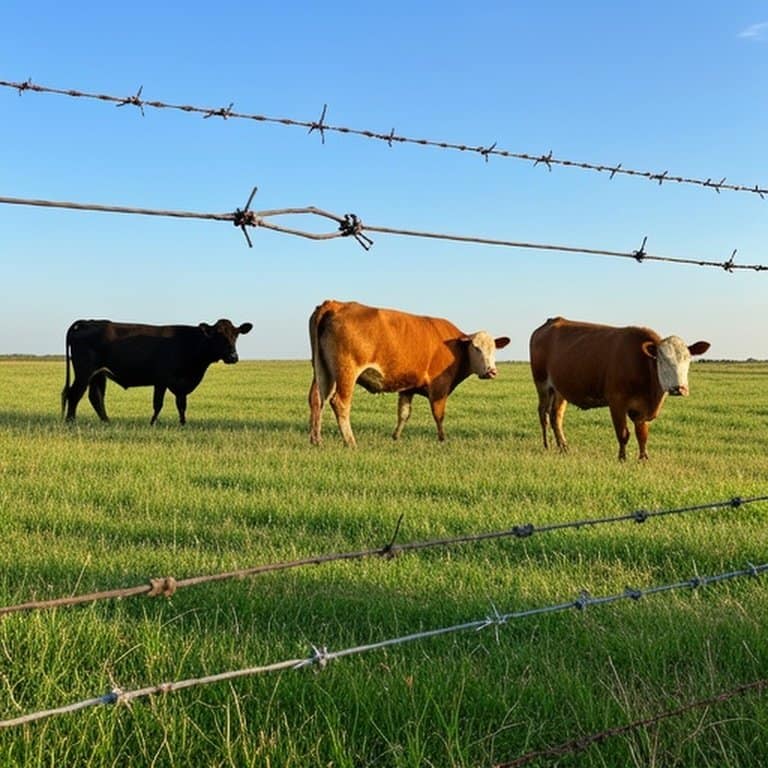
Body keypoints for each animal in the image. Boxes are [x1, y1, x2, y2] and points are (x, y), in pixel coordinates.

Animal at [61, 318, 253, 424]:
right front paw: (152, 423)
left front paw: (183, 423)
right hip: (84, 371)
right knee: (74, 394)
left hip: (98, 374)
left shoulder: (180, 383)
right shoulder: (162, 379)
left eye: (236, 335)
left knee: (96, 396)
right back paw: (70, 422)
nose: (233, 356)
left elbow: (181, 404)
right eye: (218, 335)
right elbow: (158, 404)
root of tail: (88, 321)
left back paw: (106, 422)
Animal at [308, 299, 510, 447]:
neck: (455, 348)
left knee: (316, 399)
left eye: (494, 349)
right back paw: (350, 442)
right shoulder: (440, 386)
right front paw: (442, 439)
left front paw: (395, 437)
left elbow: (404, 413)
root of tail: (336, 304)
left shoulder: (407, 388)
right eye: (476, 348)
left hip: (322, 370)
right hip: (346, 372)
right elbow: (439, 414)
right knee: (340, 403)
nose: (491, 371)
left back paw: (316, 439)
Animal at [529, 316, 710, 460]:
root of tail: (551, 321)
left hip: (560, 390)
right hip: (542, 384)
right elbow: (623, 433)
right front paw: (622, 458)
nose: (679, 388)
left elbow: (642, 435)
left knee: (556, 416)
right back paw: (547, 445)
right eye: (662, 360)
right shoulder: (617, 402)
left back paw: (563, 447)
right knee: (543, 414)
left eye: (687, 359)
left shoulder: (641, 409)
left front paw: (643, 458)